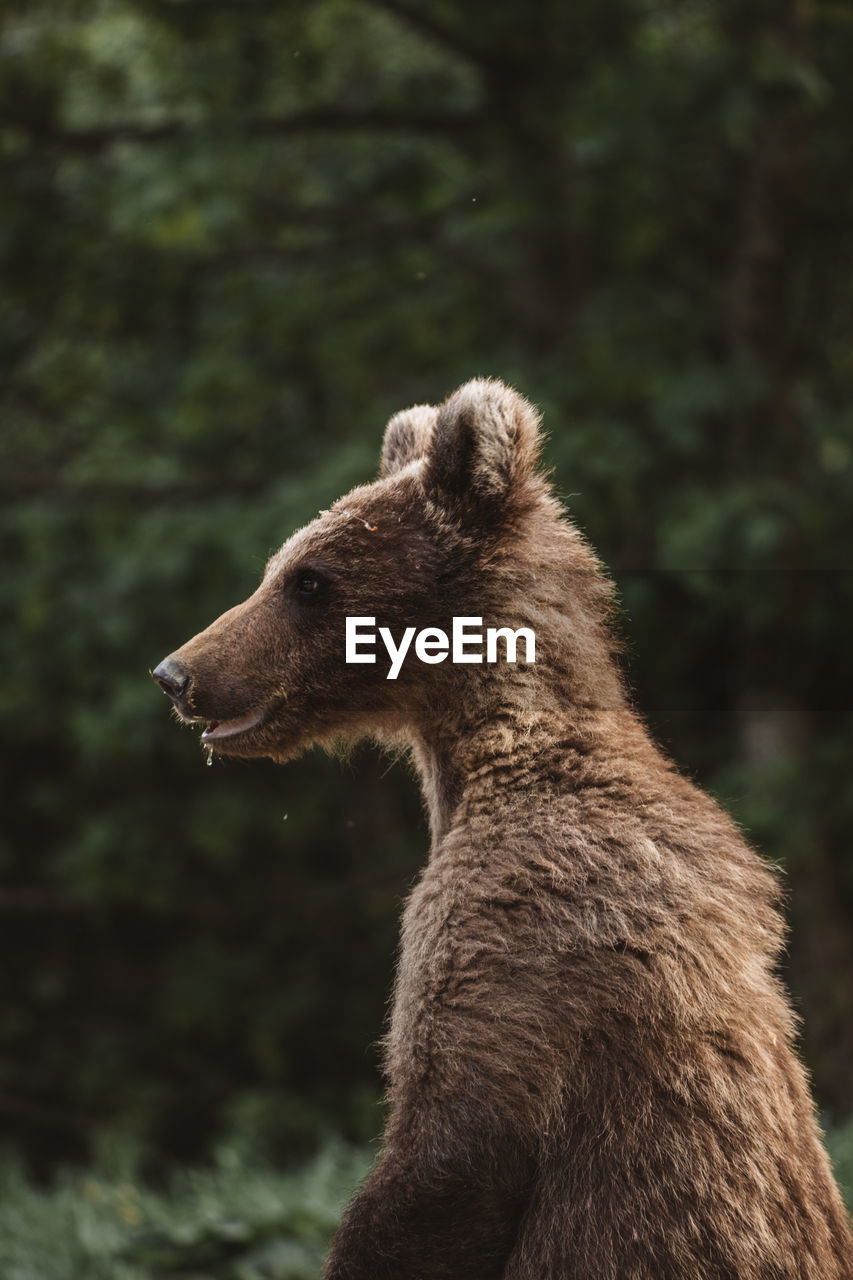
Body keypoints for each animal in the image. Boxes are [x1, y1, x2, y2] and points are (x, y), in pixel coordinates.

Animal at [153, 381, 850, 1280]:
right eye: (281, 566)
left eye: (309, 579)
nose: (177, 672)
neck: (489, 758)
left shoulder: (511, 922)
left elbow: (451, 1148)